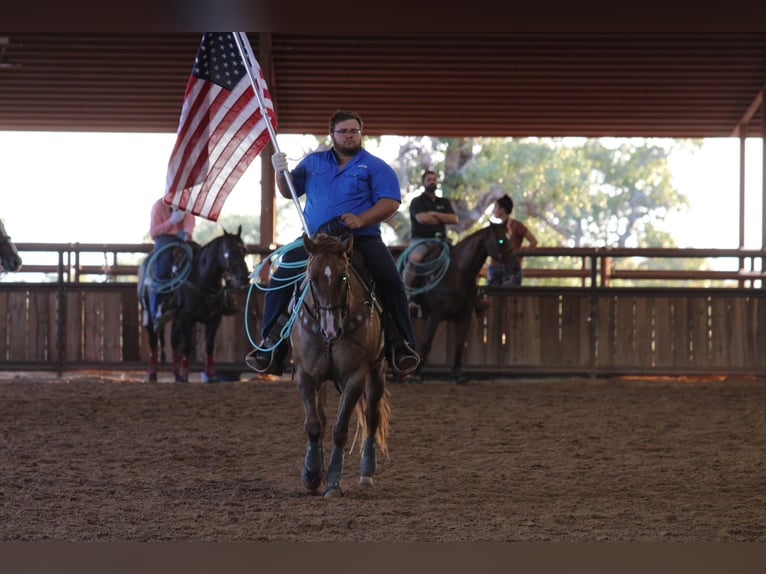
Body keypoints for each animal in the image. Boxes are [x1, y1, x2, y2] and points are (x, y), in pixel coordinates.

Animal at [136, 227, 248, 384]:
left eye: (244, 251)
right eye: (228, 252)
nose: (244, 278)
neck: (201, 279)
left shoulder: (214, 319)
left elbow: (209, 346)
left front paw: (211, 376)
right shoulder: (186, 317)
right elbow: (187, 346)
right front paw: (185, 375)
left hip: (175, 318)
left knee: (174, 341)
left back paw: (176, 374)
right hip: (150, 314)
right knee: (153, 339)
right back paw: (153, 374)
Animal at [290, 234, 390, 500]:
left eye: (343, 277)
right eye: (312, 278)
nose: (331, 329)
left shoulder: (355, 377)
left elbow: (340, 430)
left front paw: (333, 482)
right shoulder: (306, 375)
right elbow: (314, 425)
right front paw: (311, 473)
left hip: (377, 371)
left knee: (372, 416)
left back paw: (366, 472)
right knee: (322, 418)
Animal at [404, 222, 520, 388]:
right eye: (501, 241)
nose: (515, 268)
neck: (458, 274)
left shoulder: (465, 317)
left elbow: (459, 345)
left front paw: (458, 375)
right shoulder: (434, 316)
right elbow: (426, 343)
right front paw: (416, 375)